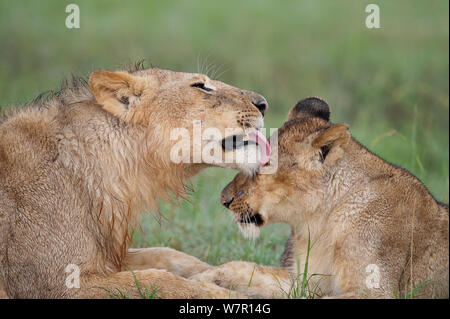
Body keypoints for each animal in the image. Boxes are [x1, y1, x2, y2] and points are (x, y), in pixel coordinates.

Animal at [0, 65, 268, 300]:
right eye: (201, 86)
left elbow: (169, 255)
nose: (264, 104)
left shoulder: (110, 258)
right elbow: (161, 281)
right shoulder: (57, 284)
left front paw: (248, 277)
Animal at [188, 98, 448, 300]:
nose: (224, 200)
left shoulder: (376, 291)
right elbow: (242, 268)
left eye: (261, 166)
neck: (319, 222)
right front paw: (199, 278)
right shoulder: (305, 281)